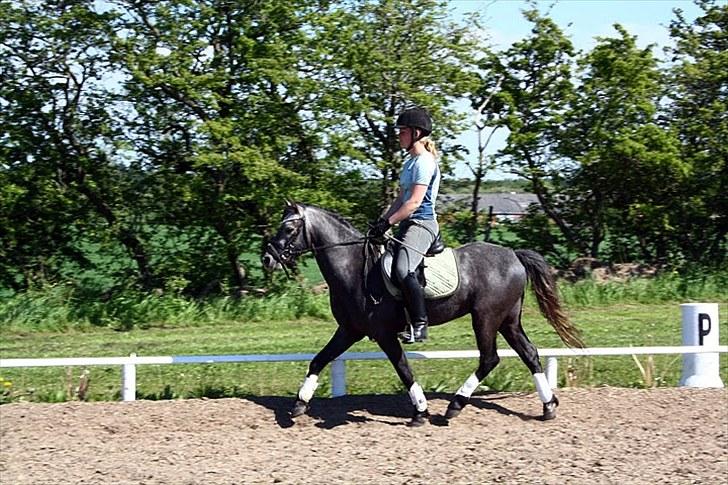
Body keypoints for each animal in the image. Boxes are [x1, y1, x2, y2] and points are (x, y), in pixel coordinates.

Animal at [262, 202, 584, 427]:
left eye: (289, 229)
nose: (267, 259)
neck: (353, 267)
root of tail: (514, 255)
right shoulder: (349, 330)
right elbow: (319, 359)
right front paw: (299, 404)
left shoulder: (383, 333)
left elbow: (403, 369)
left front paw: (420, 411)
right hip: (508, 320)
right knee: (528, 353)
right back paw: (548, 406)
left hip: (486, 317)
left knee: (489, 358)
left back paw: (455, 406)